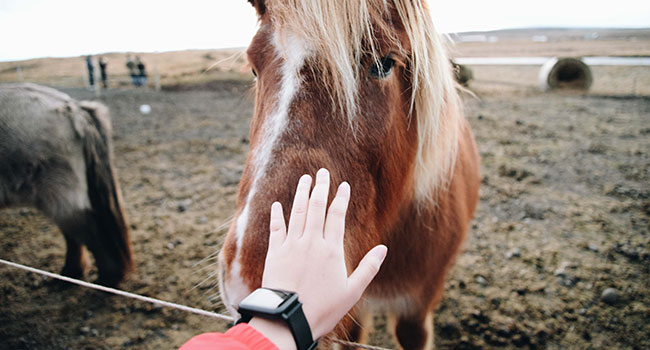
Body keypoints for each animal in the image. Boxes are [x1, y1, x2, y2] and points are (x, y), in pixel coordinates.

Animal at [0, 83, 133, 286]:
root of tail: (73, 108)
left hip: (58, 192)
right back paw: (73, 274)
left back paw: (102, 280)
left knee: (86, 232)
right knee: (75, 234)